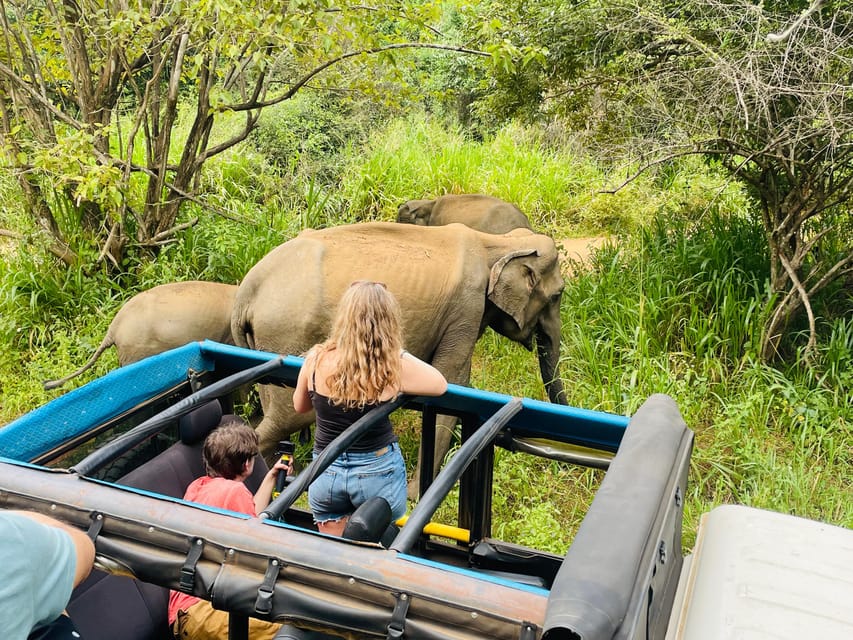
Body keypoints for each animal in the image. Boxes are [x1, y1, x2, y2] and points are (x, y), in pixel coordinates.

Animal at [230, 222, 568, 492]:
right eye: (558, 294)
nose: (561, 465)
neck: (500, 241)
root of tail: (247, 291)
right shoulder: (466, 307)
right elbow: (450, 380)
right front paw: (416, 494)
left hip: (264, 341)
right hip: (288, 333)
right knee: (285, 418)